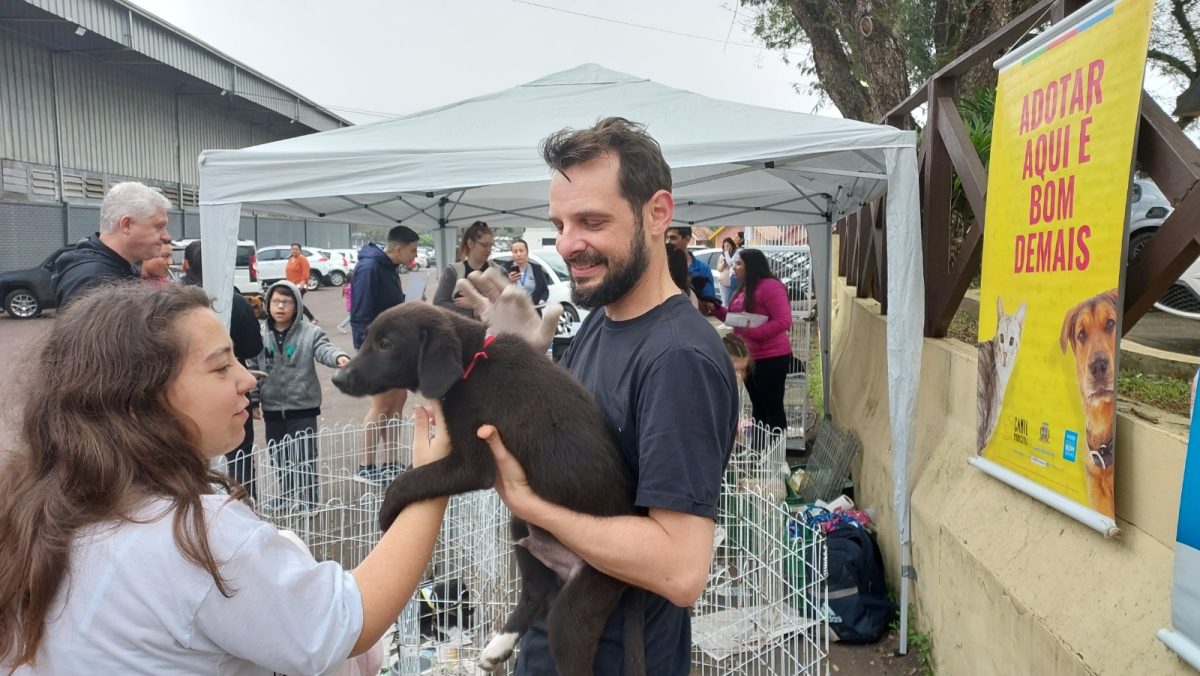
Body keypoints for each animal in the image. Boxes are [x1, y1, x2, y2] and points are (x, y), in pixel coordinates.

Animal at [328, 302, 648, 676]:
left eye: (386, 344)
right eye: (368, 340)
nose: (337, 379)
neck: (472, 363)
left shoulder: (473, 464)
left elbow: (412, 478)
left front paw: (385, 512)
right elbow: (417, 472)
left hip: (582, 600)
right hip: (523, 527)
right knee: (538, 593)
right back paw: (497, 647)